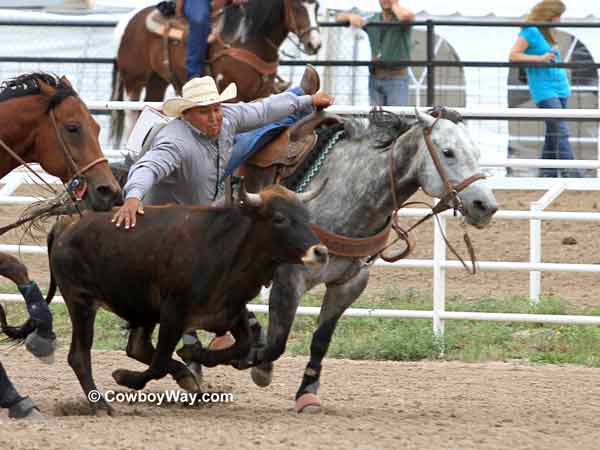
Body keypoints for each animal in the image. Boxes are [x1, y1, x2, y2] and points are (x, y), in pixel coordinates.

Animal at [110, 0, 322, 144]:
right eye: (297, 5)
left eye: (316, 7)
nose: (315, 44)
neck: (245, 39)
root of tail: (128, 21)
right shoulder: (233, 94)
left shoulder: (262, 92)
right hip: (133, 80)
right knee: (130, 113)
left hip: (157, 81)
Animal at [241, 109, 500, 412]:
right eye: (448, 152)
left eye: (476, 152)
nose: (486, 206)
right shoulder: (289, 278)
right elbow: (277, 340)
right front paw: (260, 367)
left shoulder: (350, 283)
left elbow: (321, 340)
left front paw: (307, 392)